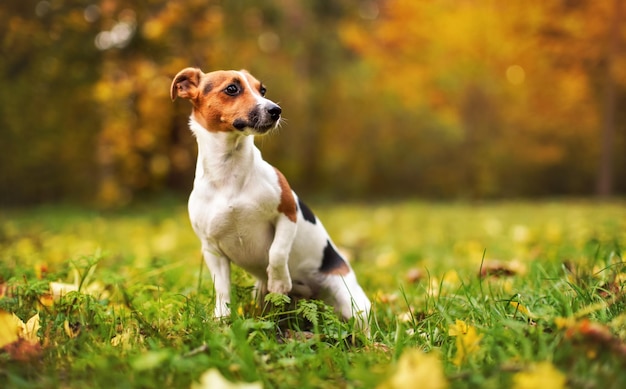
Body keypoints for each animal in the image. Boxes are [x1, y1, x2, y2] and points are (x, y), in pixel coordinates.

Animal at [168, 68, 368, 328]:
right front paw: (221, 320)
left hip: (349, 299)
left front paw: (280, 281)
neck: (229, 172)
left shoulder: (287, 214)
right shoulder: (211, 248)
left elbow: (277, 252)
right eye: (232, 88)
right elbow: (222, 288)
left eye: (262, 90)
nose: (276, 110)